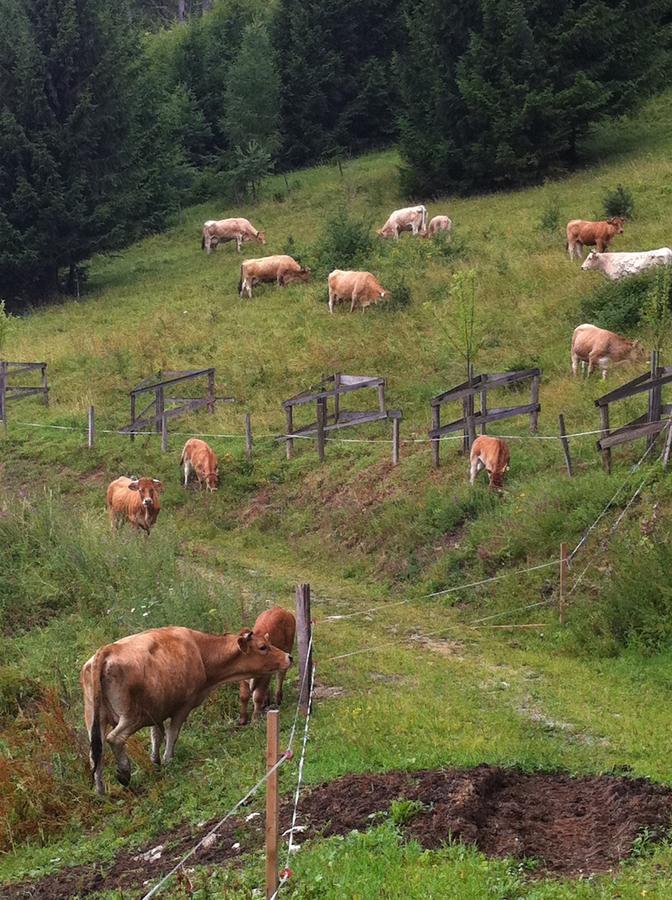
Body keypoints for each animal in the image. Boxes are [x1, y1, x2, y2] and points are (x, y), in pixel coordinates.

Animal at [80, 624, 290, 796]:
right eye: (263, 647)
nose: (289, 657)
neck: (201, 652)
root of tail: (106, 650)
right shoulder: (183, 706)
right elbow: (172, 734)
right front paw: (167, 760)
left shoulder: (157, 709)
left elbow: (156, 735)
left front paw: (155, 761)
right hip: (132, 715)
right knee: (114, 738)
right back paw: (124, 773)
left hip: (94, 718)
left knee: (95, 754)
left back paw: (100, 791)